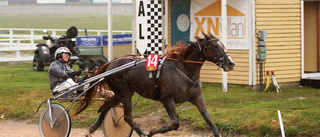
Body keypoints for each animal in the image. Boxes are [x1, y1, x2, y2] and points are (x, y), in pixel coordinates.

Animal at [74, 32, 235, 136]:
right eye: (215, 46)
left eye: (222, 45)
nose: (231, 63)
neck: (184, 69)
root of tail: (111, 63)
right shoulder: (167, 99)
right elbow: (175, 123)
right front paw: (152, 131)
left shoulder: (197, 97)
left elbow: (209, 119)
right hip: (124, 91)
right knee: (127, 117)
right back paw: (142, 133)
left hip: (123, 92)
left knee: (107, 104)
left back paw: (94, 127)